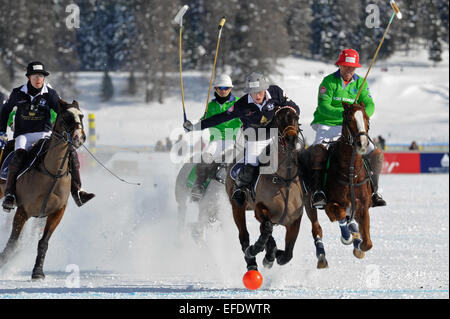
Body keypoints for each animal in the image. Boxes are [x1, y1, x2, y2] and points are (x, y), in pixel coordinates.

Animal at [0, 100, 86, 280]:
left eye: (81, 116)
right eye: (66, 116)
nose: (79, 137)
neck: (53, 173)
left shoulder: (56, 213)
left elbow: (43, 242)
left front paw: (38, 271)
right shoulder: (23, 211)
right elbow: (13, 242)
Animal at [225, 107, 326, 272]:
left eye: (296, 117)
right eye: (278, 120)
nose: (291, 138)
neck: (285, 179)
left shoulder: (294, 219)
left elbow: (287, 254)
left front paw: (275, 253)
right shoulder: (259, 209)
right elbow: (266, 229)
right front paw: (262, 251)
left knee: (316, 226)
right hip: (237, 207)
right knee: (244, 235)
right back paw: (252, 261)